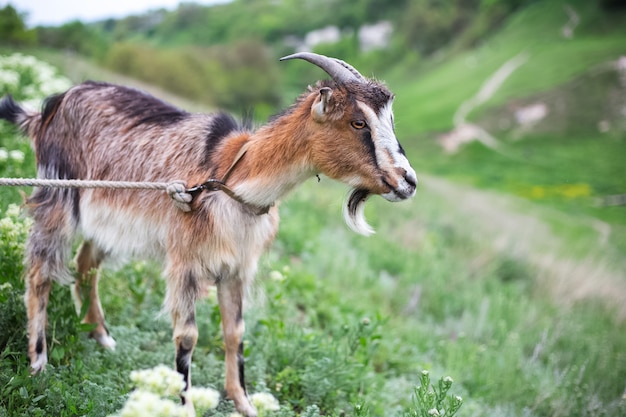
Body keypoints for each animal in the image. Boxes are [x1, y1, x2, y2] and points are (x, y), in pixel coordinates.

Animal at [0, 52, 414, 416]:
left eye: (391, 121)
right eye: (358, 122)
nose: (408, 182)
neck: (229, 183)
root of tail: (51, 106)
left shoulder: (236, 268)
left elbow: (235, 332)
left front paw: (245, 403)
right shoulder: (185, 262)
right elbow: (188, 337)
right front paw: (184, 406)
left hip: (108, 224)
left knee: (86, 264)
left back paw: (102, 337)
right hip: (58, 196)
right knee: (39, 273)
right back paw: (39, 364)